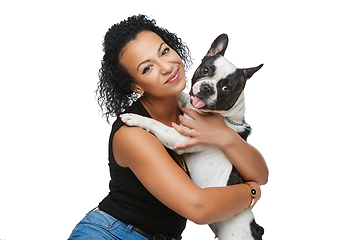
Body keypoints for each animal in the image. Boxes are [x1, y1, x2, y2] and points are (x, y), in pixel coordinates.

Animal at [121, 34, 264, 240]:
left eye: (226, 88)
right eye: (205, 70)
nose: (206, 88)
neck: (224, 116)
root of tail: (255, 227)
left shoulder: (182, 138)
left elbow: (158, 125)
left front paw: (135, 117)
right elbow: (182, 97)